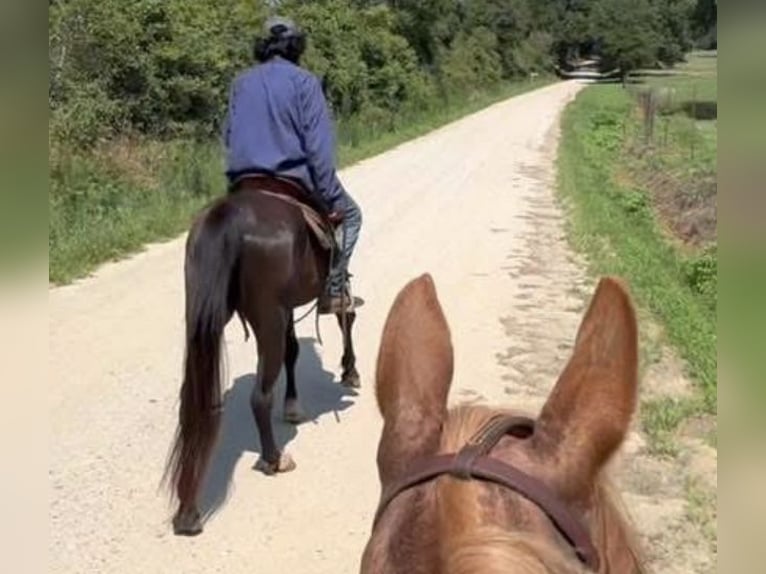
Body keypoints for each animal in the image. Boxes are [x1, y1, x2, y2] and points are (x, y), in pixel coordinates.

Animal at [165, 176, 360, 536]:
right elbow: (345, 317)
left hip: (206, 316)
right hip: (267, 316)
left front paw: (293, 405)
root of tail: (229, 218)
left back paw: (187, 511)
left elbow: (293, 351)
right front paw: (350, 372)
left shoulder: (287, 307)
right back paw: (275, 458)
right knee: (259, 395)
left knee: (193, 401)